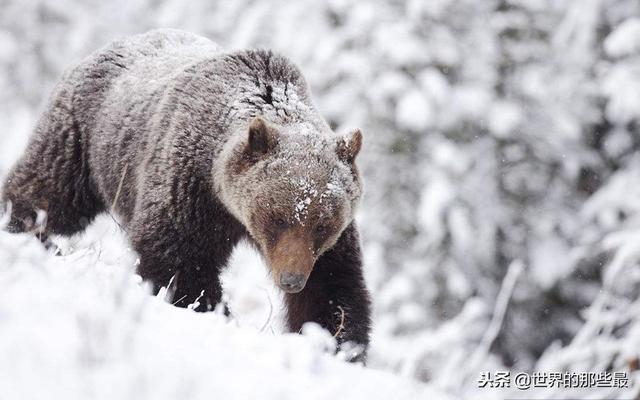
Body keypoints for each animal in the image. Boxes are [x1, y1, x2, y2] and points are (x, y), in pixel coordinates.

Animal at [1, 28, 370, 360]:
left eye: (322, 225)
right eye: (277, 218)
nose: (291, 279)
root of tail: (110, 45)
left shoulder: (329, 241)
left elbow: (333, 285)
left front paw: (339, 343)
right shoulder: (189, 185)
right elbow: (178, 256)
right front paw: (209, 307)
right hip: (84, 138)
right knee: (50, 192)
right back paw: (23, 228)